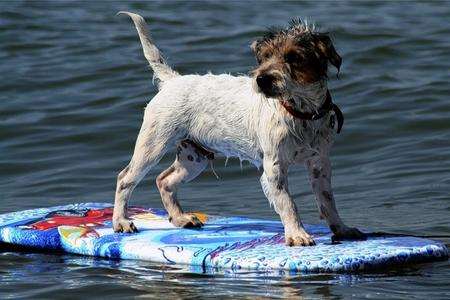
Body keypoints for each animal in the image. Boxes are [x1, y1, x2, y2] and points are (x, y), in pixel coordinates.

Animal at [112, 11, 366, 246]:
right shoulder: (273, 168)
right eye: (264, 57)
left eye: (294, 57)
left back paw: (180, 218)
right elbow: (288, 203)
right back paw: (121, 221)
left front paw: (341, 228)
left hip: (194, 158)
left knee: (164, 180)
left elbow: (328, 201)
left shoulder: (319, 163)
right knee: (125, 178)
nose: (262, 80)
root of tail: (173, 80)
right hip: (152, 145)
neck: (299, 113)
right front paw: (297, 235)